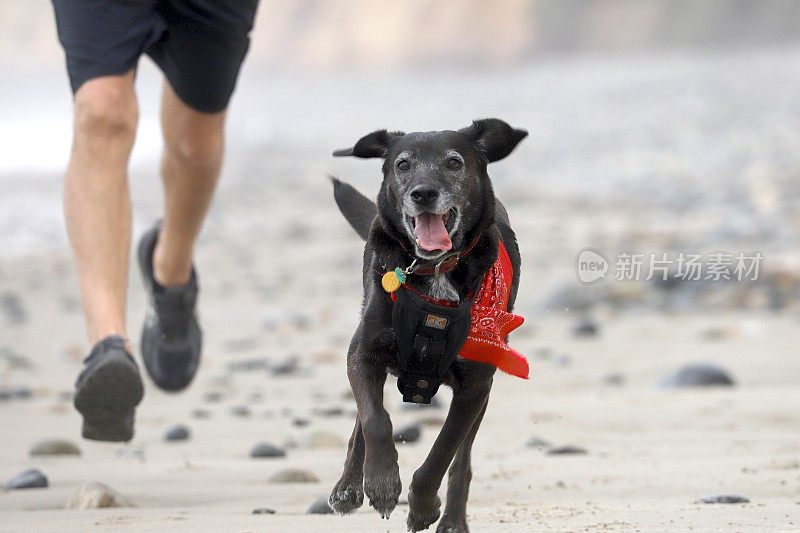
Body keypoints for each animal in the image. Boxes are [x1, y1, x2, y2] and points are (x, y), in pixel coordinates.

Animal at [328, 118, 528, 528]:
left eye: (454, 162)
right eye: (402, 164)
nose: (423, 193)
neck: (434, 271)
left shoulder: (476, 386)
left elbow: (443, 451)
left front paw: (422, 507)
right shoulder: (364, 353)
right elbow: (375, 419)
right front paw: (382, 483)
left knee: (462, 459)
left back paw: (452, 519)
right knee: (363, 418)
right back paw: (348, 488)